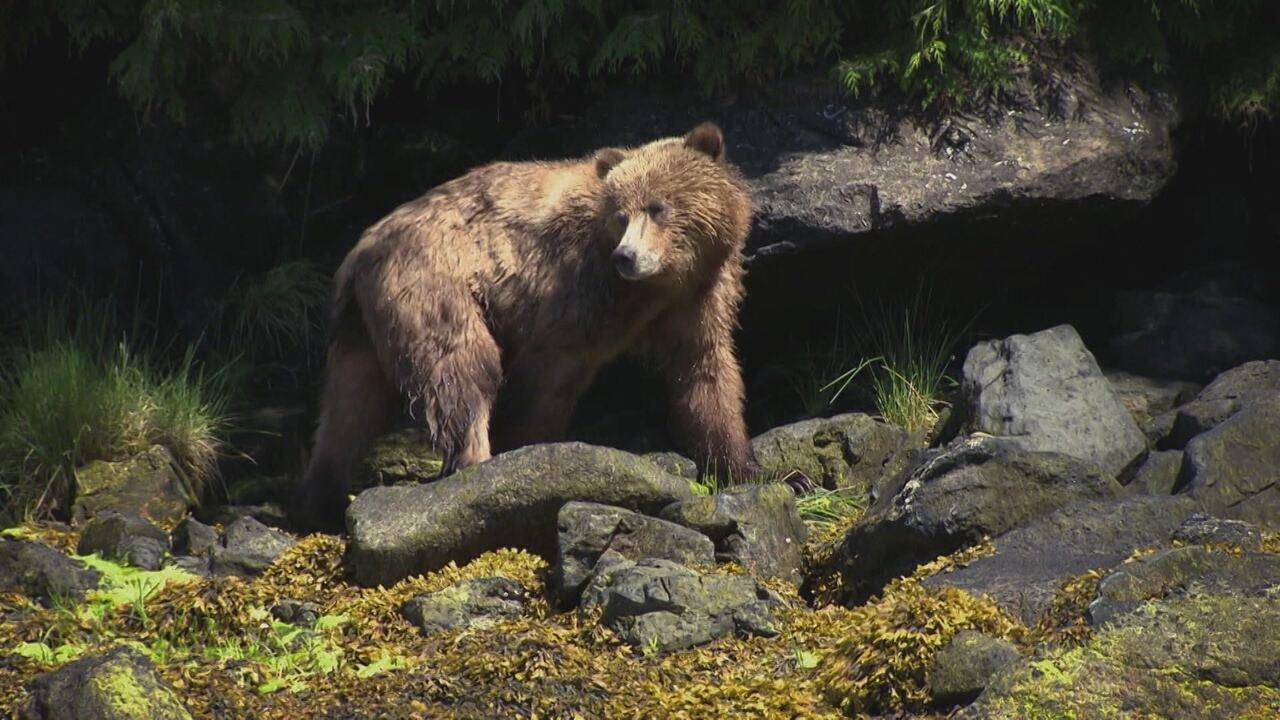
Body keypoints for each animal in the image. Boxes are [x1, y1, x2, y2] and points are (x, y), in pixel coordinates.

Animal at [296, 121, 757, 527]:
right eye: (621, 215)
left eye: (657, 207)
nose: (626, 256)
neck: (659, 285)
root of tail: (361, 250)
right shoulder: (577, 294)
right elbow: (547, 377)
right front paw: (531, 455)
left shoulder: (697, 300)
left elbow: (706, 374)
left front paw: (741, 465)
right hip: (434, 288)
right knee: (463, 370)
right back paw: (472, 464)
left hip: (362, 326)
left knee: (349, 406)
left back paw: (320, 499)